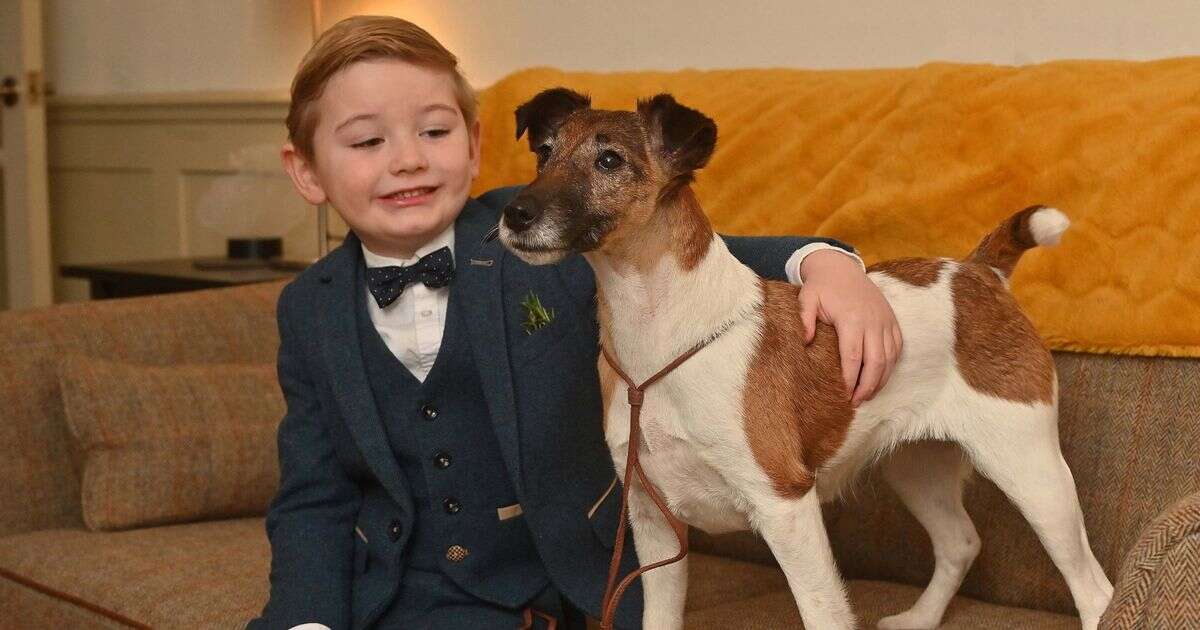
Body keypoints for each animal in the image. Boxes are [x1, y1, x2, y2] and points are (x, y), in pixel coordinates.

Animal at [492, 88, 1108, 628]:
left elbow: (822, 613)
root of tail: (978, 273)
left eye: (609, 160)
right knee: (961, 542)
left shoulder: (785, 507)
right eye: (544, 152)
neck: (661, 348)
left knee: (1095, 592)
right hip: (917, 465)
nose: (515, 212)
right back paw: (920, 618)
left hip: (1032, 473)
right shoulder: (653, 526)